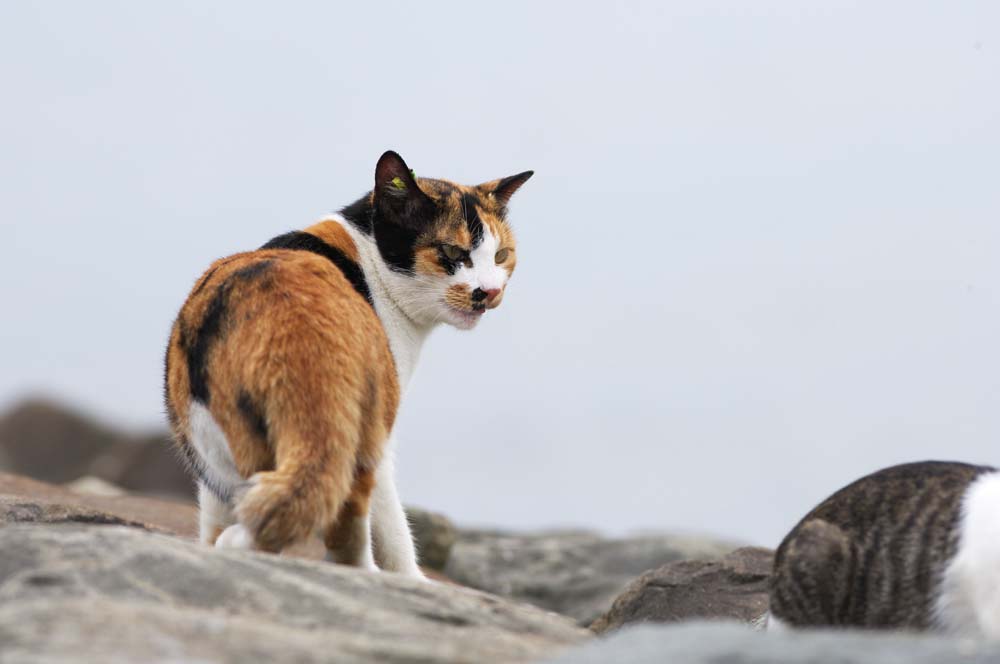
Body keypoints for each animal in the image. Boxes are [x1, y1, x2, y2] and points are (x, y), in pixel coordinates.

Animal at [164, 152, 536, 576]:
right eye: (453, 253)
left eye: (501, 255)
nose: (489, 292)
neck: (366, 258)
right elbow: (394, 535)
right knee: (351, 525)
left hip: (219, 445)